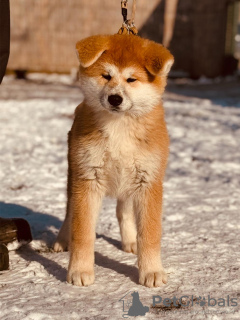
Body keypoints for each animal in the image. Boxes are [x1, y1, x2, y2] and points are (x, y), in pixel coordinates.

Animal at [53, 34, 173, 288]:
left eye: (131, 79)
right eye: (106, 76)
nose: (115, 98)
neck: (119, 127)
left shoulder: (148, 181)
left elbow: (149, 234)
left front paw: (151, 271)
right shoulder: (88, 178)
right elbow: (82, 232)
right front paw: (79, 270)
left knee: (123, 211)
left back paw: (130, 241)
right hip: (74, 175)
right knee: (69, 212)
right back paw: (62, 240)